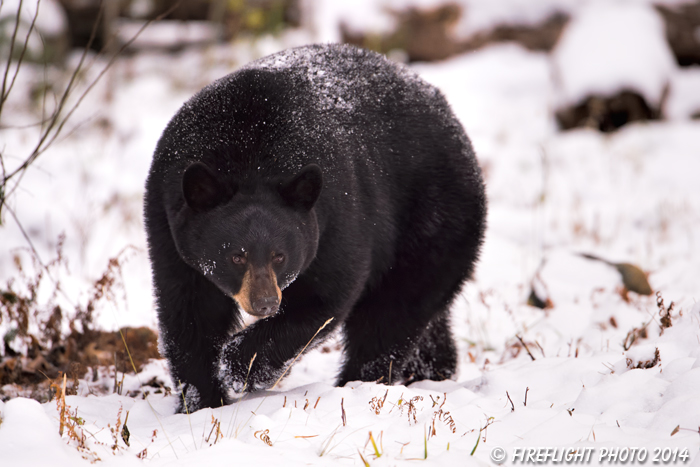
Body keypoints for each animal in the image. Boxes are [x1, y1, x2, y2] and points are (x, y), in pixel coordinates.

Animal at [145, 42, 486, 412]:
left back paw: (360, 385)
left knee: (391, 316)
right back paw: (433, 371)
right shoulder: (168, 223)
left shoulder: (336, 214)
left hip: (430, 221)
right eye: (236, 256)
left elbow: (325, 298)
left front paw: (239, 366)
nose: (266, 304)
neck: (249, 149)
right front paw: (201, 401)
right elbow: (188, 312)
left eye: (280, 256)